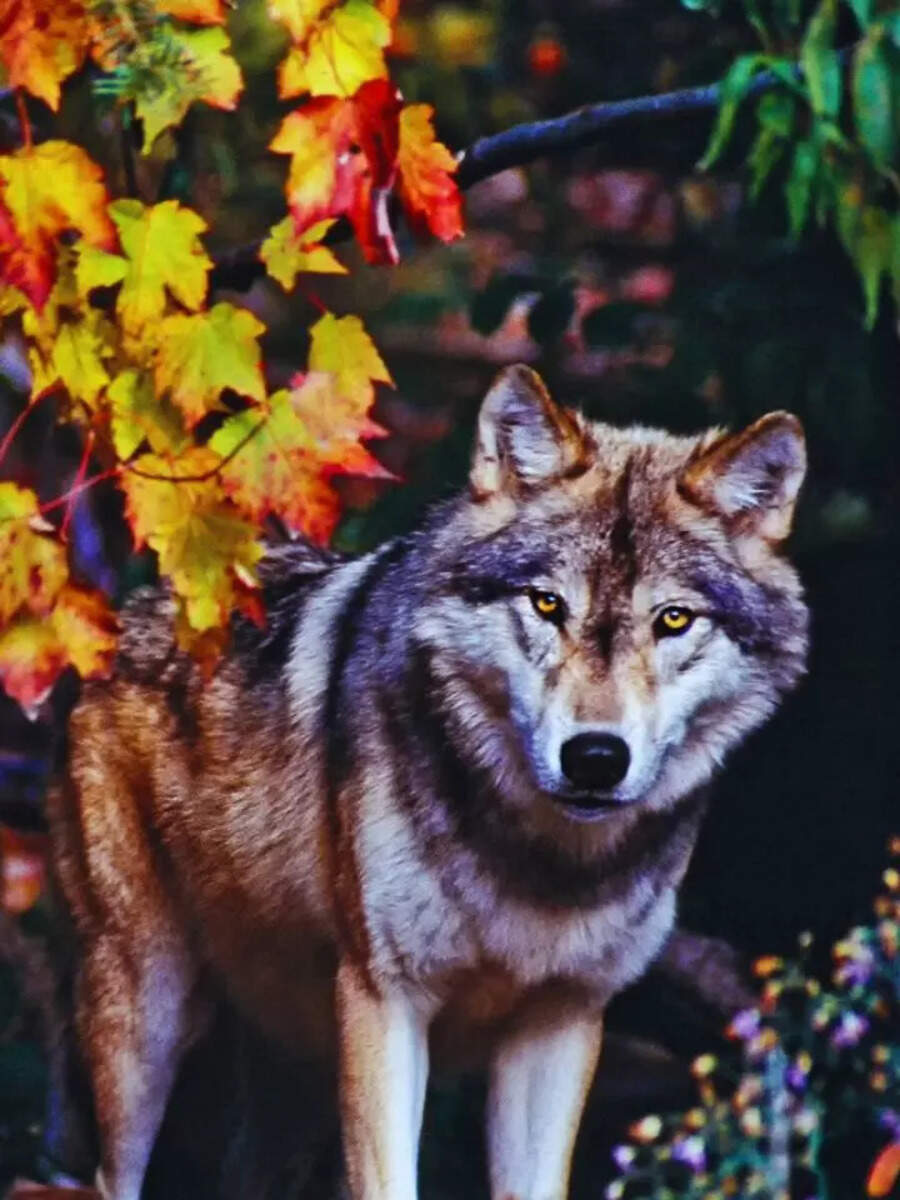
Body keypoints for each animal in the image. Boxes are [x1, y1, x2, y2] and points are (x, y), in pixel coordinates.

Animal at [48, 364, 808, 1200]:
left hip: (287, 1083)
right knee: (109, 1173)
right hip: (146, 1019)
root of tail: (143, 606)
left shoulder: (561, 1022)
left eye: (674, 620)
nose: (594, 757)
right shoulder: (385, 1001)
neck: (541, 863)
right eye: (547, 604)